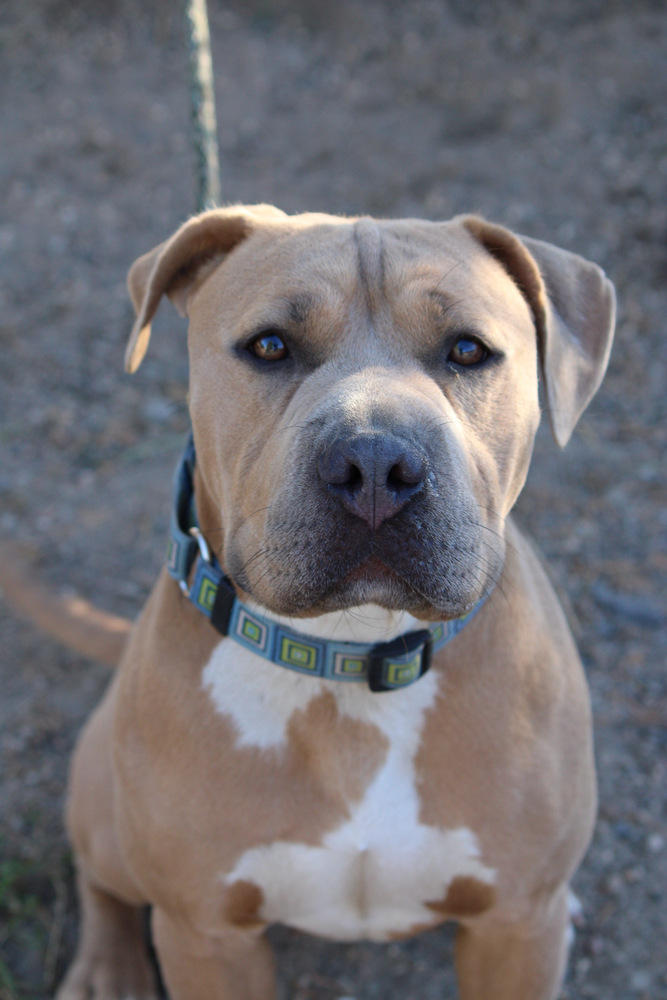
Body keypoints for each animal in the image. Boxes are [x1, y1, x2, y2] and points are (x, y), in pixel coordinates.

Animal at [51, 205, 616, 1000]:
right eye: (269, 346)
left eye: (467, 350)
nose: (376, 462)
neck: (352, 653)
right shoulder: (206, 937)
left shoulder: (515, 926)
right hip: (107, 814)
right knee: (99, 875)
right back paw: (109, 965)